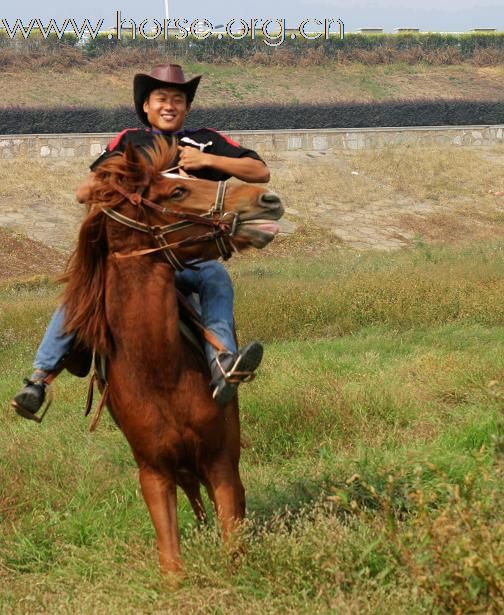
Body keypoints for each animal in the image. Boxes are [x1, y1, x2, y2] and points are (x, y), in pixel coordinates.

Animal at [59, 138, 284, 572]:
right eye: (176, 191)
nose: (269, 199)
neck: (159, 371)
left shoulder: (220, 461)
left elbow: (233, 542)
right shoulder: (154, 473)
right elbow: (172, 565)